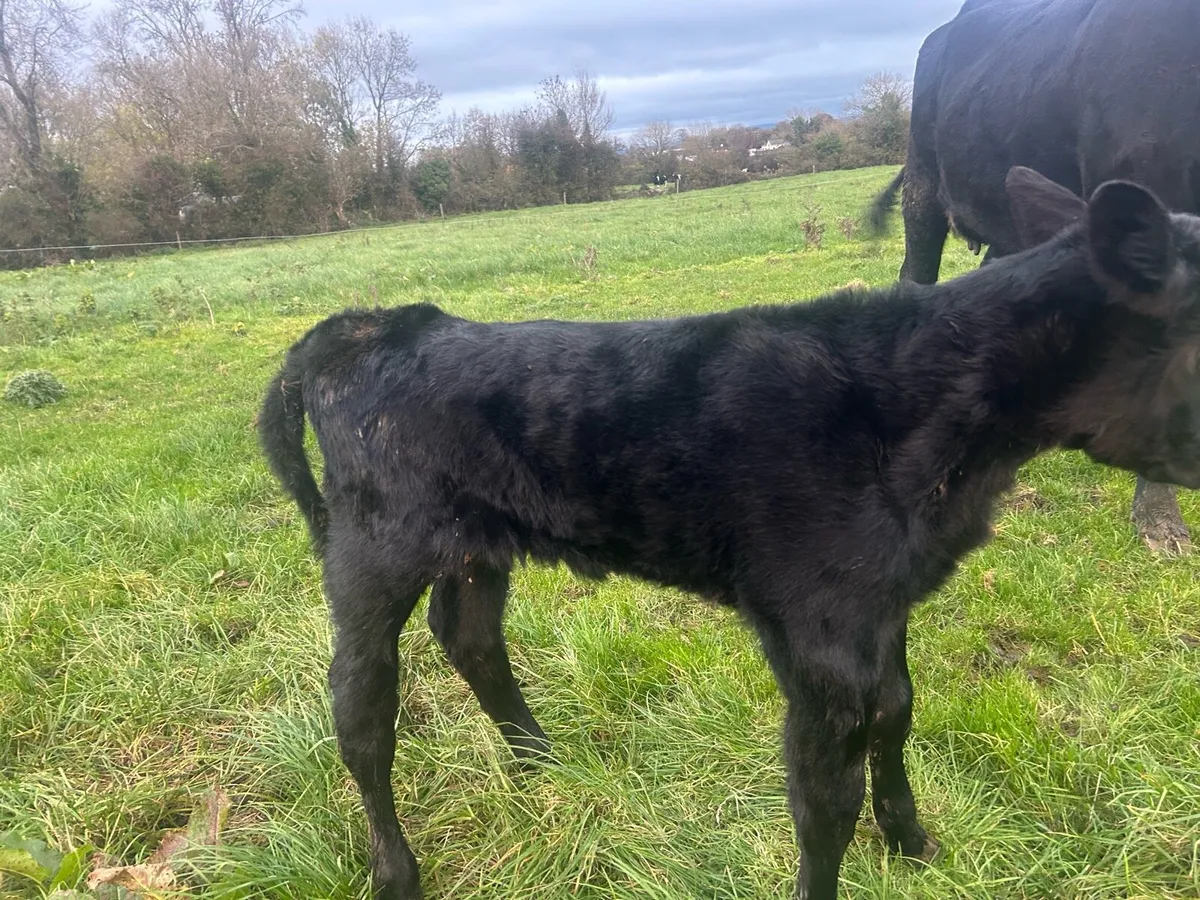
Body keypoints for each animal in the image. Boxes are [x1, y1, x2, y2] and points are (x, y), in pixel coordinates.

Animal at [258, 168, 1200, 900]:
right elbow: (824, 799)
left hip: (476, 540)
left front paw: (912, 843)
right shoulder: (816, 626)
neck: (916, 410)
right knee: (362, 705)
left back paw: (543, 766)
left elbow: (897, 713)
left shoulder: (883, 600)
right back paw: (397, 872)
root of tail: (369, 324)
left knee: (470, 635)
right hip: (373, 546)